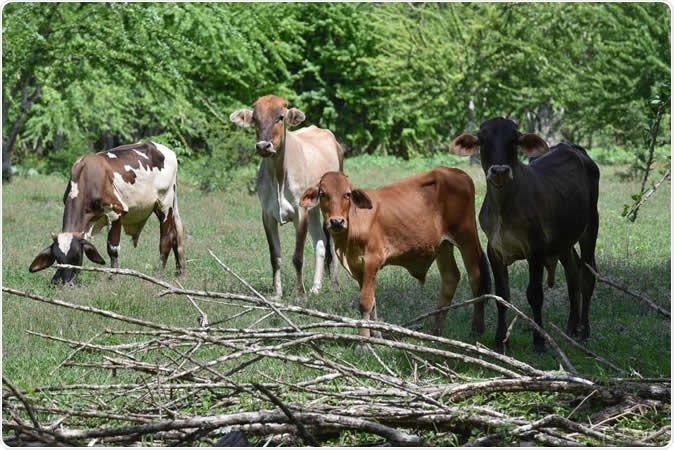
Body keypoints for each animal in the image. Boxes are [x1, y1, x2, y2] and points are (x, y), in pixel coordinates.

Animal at [29, 142, 184, 284]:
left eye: (77, 256)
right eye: (58, 259)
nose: (67, 283)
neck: (87, 179)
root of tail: (168, 151)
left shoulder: (115, 212)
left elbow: (113, 249)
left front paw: (113, 278)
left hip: (165, 203)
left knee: (167, 238)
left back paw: (159, 274)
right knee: (177, 234)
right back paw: (180, 273)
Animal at [231, 94, 344, 298]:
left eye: (280, 117)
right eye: (255, 119)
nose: (263, 146)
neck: (278, 177)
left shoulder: (301, 212)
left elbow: (297, 256)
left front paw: (300, 293)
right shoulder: (267, 215)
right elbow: (275, 256)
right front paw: (277, 293)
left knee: (332, 243)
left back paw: (334, 285)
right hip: (314, 210)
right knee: (320, 244)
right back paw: (316, 287)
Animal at [300, 169, 488, 338]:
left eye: (347, 194)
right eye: (322, 194)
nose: (337, 222)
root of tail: (458, 173)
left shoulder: (372, 260)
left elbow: (365, 302)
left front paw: (364, 343)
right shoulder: (358, 268)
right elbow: (372, 302)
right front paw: (376, 336)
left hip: (466, 236)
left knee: (476, 277)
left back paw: (476, 330)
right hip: (443, 245)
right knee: (450, 277)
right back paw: (436, 332)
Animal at [452, 117, 600, 356]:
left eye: (514, 139)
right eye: (483, 140)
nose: (500, 170)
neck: (503, 207)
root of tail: (571, 147)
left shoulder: (536, 250)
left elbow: (535, 295)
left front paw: (539, 340)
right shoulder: (495, 251)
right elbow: (502, 296)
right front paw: (500, 340)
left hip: (590, 226)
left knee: (587, 274)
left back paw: (584, 330)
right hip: (563, 241)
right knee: (573, 273)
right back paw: (571, 328)